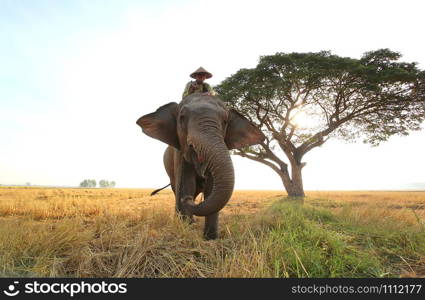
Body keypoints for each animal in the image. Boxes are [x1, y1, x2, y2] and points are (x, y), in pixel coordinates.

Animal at [136, 93, 264, 239]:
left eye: (225, 121)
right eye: (182, 118)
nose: (186, 200)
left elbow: (210, 188)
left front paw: (210, 238)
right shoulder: (180, 153)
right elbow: (187, 184)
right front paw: (186, 229)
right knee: (177, 189)